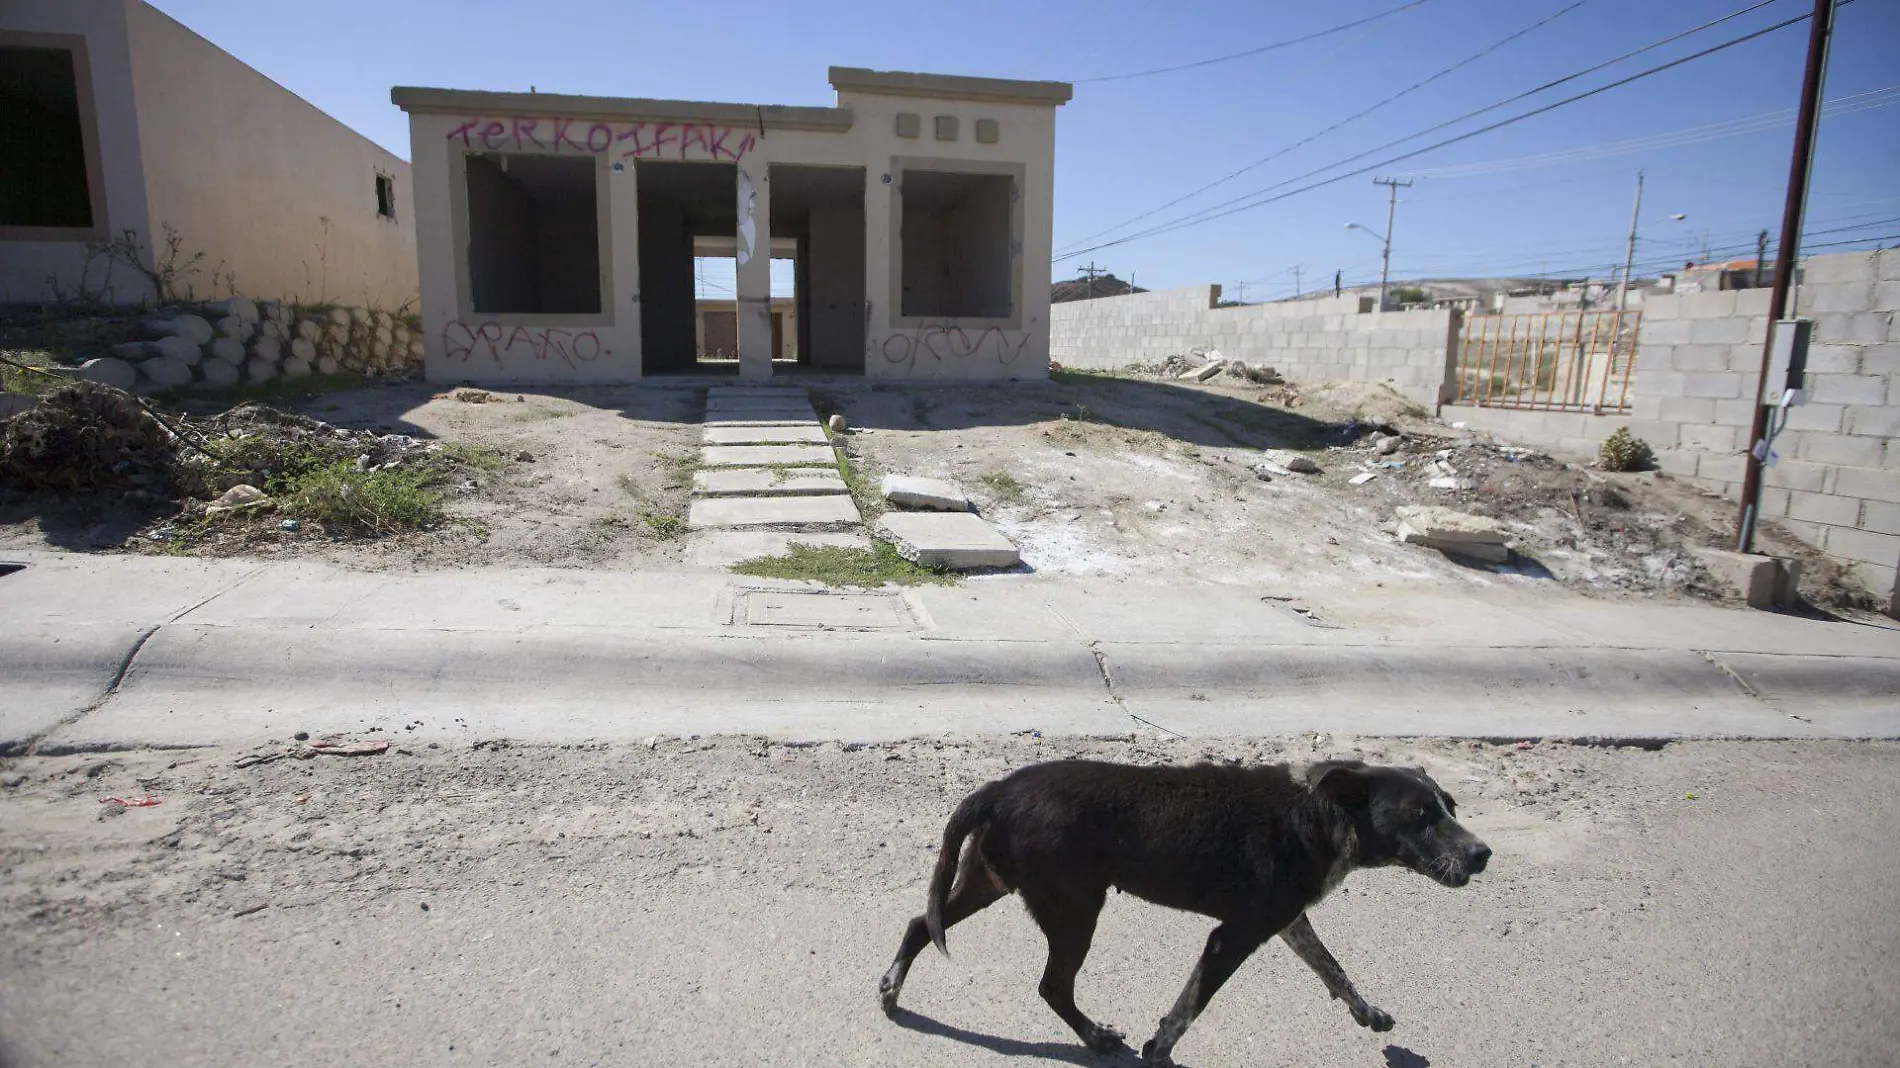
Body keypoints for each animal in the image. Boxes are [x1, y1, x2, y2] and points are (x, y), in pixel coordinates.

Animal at [881, 752, 1489, 1056]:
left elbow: (1333, 969)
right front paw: (1159, 1049)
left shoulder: (1287, 920)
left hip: (991, 879)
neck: (1319, 814)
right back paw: (1096, 1038)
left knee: (918, 923)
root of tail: (998, 789)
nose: (1482, 854)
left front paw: (1368, 1013)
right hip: (1076, 908)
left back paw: (891, 989)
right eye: (1419, 816)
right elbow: (1190, 1006)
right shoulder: (1233, 935)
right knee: (1053, 986)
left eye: (1451, 806)